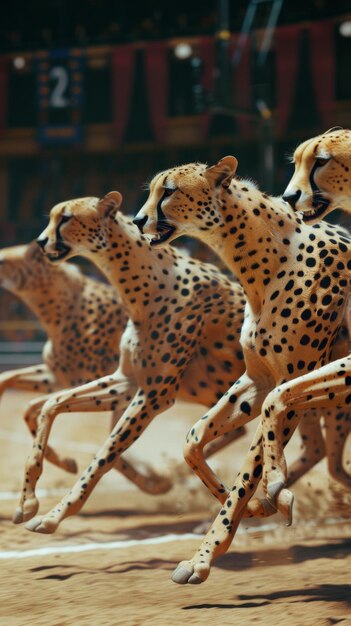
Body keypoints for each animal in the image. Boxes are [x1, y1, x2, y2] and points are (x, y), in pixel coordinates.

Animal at [0, 240, 173, 492]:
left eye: (2, 260)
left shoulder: (107, 386)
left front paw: (156, 481)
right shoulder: (58, 377)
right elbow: (18, 392)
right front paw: (65, 462)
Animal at [133, 155, 351, 580]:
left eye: (168, 192)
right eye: (151, 190)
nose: (136, 220)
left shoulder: (292, 377)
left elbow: (252, 461)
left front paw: (204, 557)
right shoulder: (258, 378)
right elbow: (194, 439)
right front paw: (252, 506)